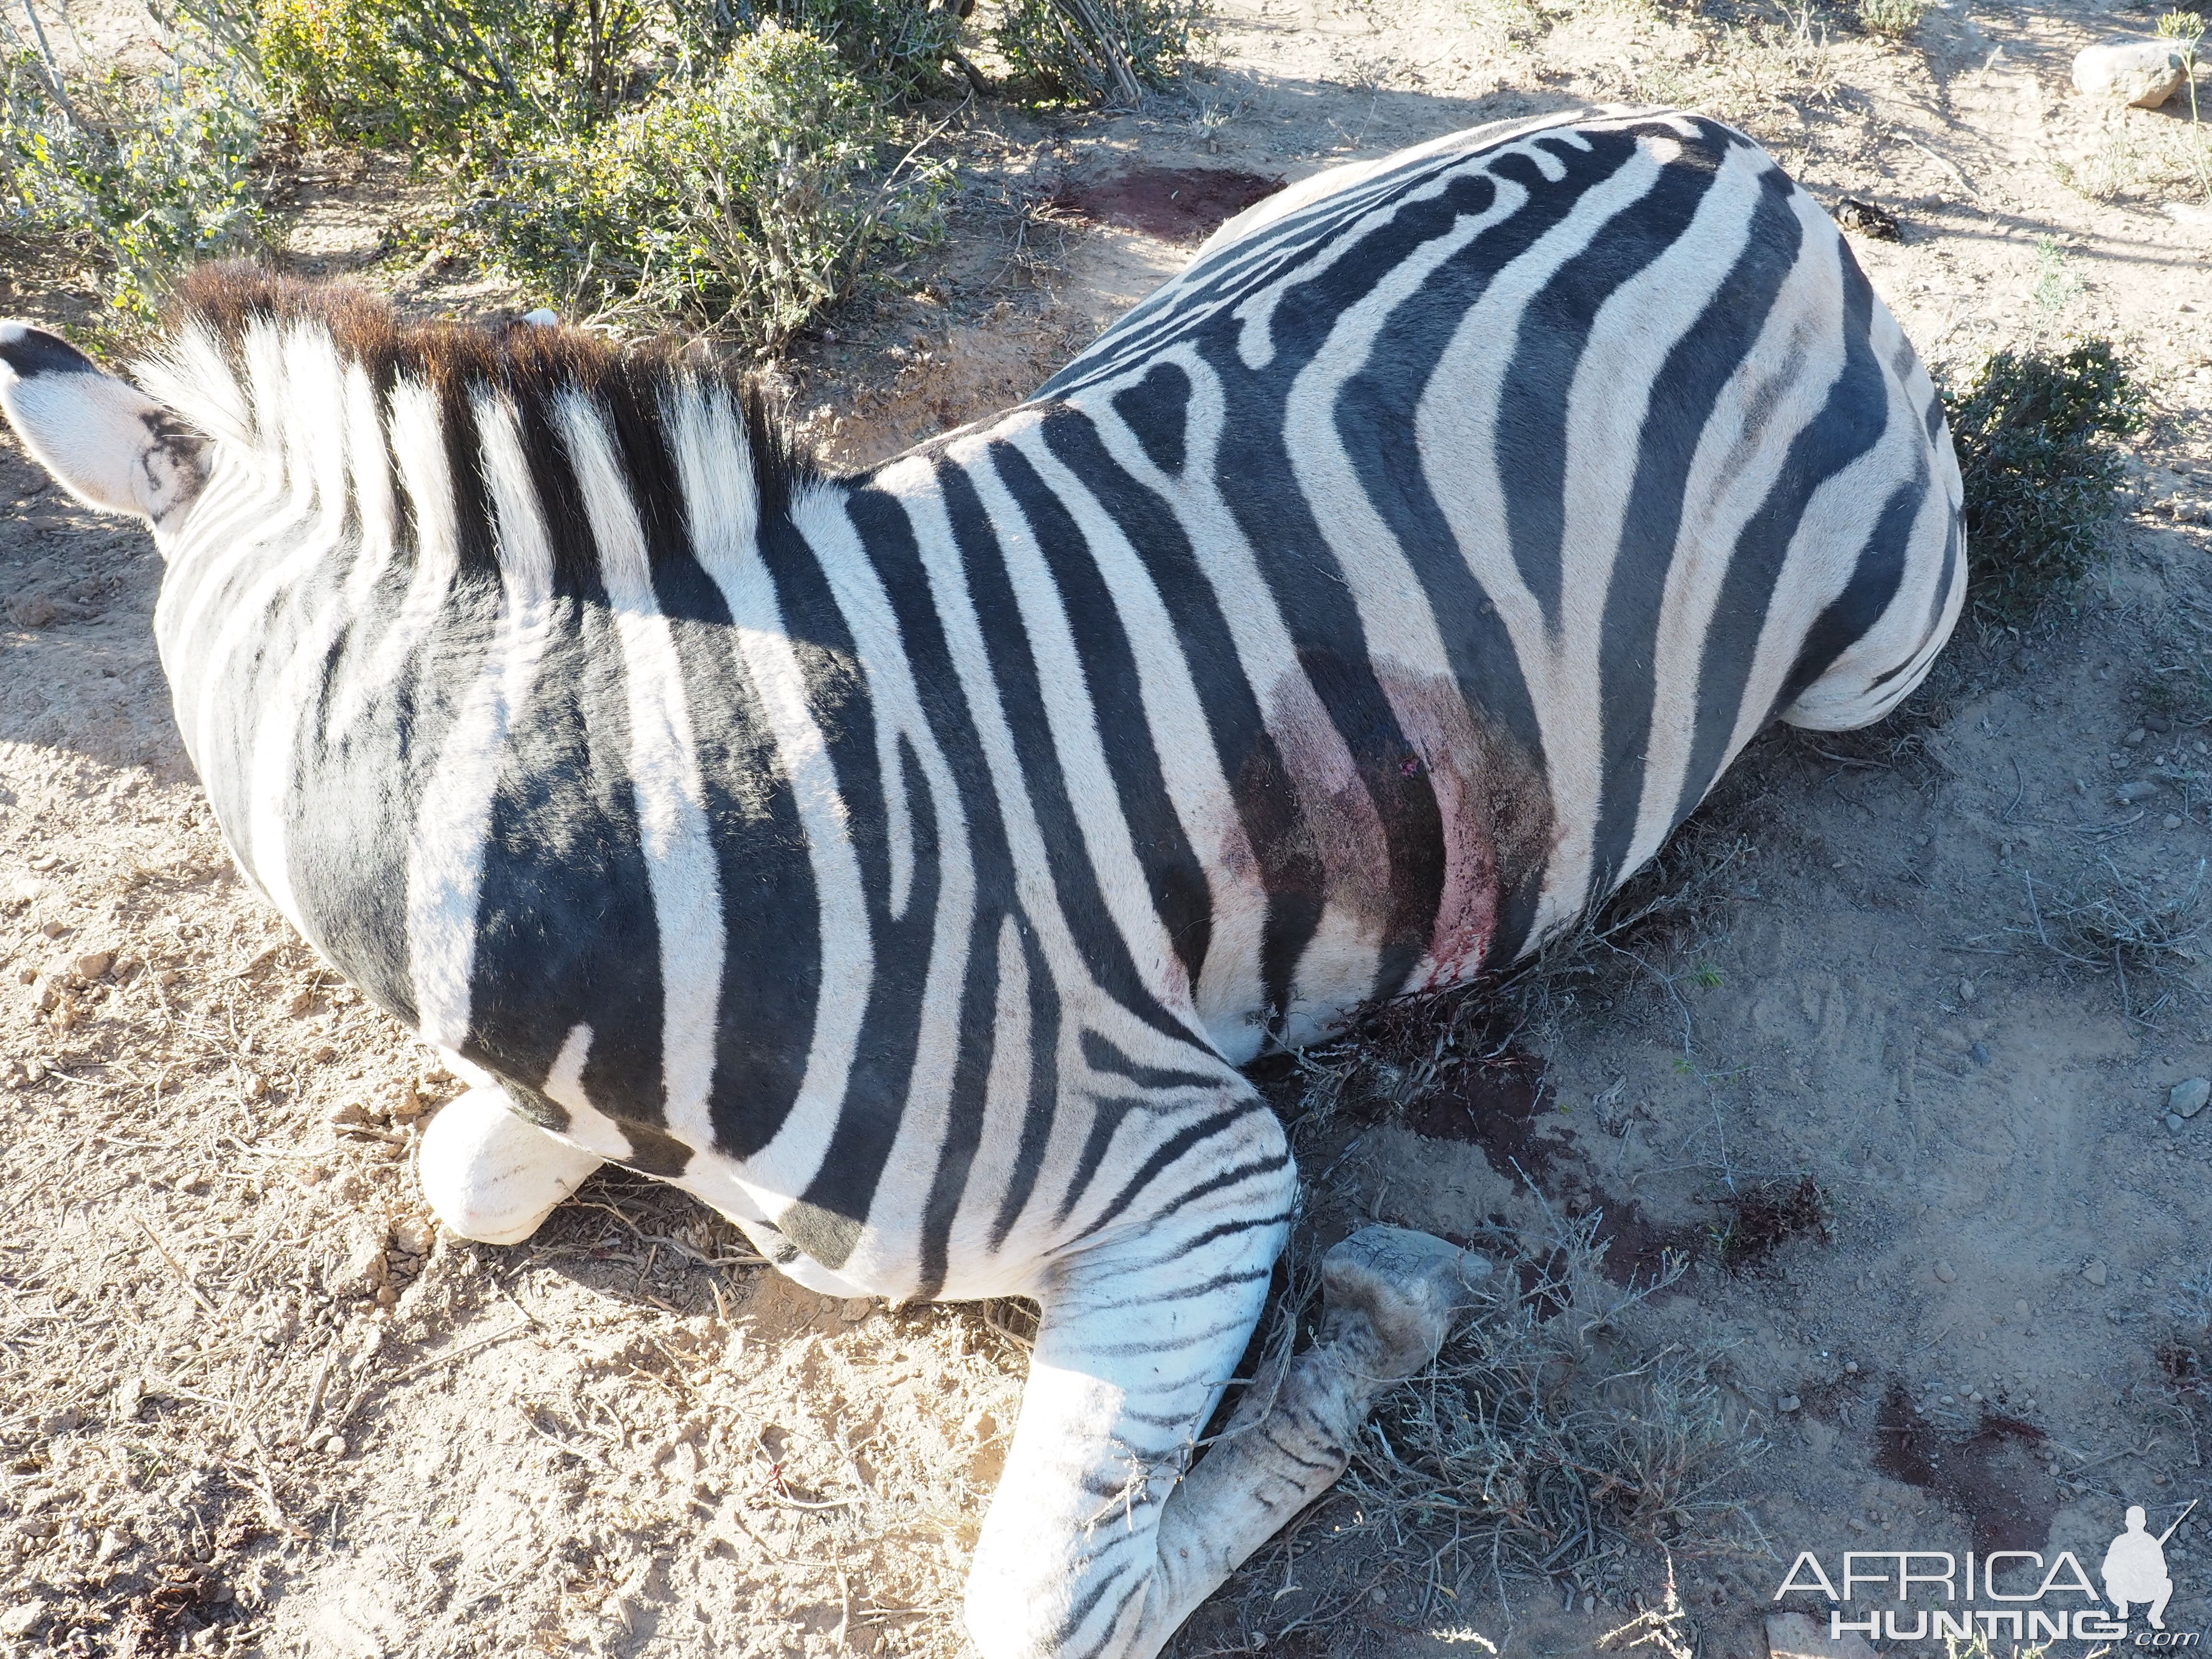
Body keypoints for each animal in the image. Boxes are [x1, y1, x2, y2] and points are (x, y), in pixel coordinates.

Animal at [9, 107, 1964, 1659]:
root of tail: (1724, 150)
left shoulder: (1191, 1164)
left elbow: (1043, 1601)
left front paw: (1363, 1333)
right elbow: (466, 1174)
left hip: (1872, 655)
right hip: (1238, 245)